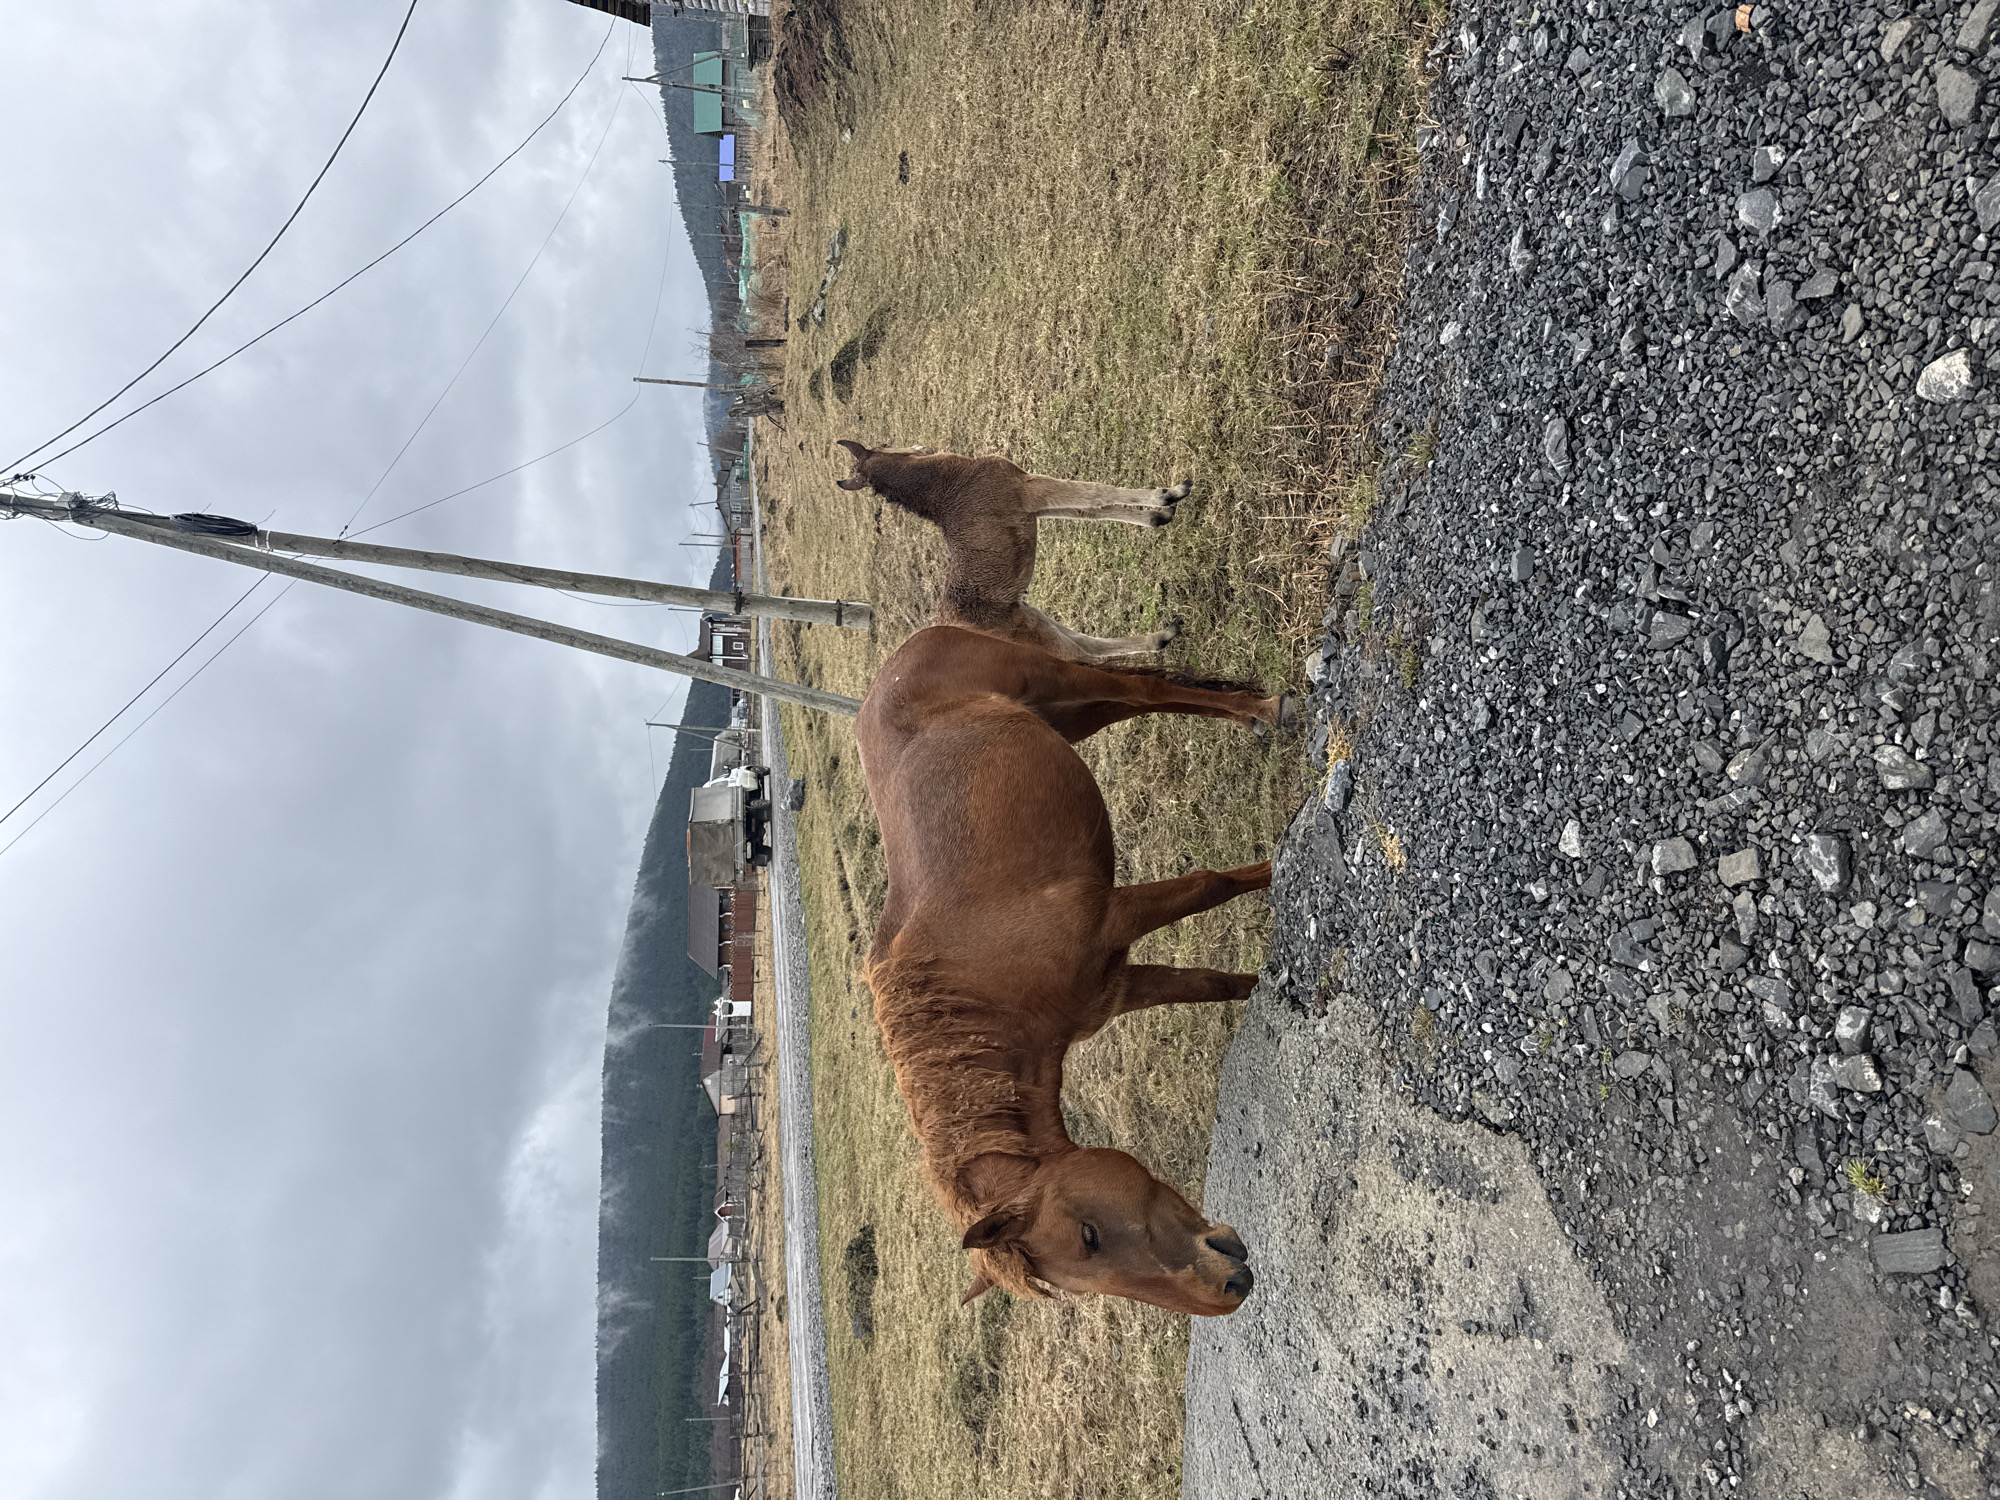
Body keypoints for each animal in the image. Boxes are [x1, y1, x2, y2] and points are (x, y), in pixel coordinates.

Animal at [833, 439, 1188, 665]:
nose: (923, 445)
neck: (950, 484)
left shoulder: (1030, 505)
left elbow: (1090, 508)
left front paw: (1159, 516)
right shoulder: (1026, 490)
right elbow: (1096, 493)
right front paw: (1170, 494)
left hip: (1031, 619)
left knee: (1087, 645)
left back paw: (1165, 635)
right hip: (1033, 633)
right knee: (1085, 659)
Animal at [857, 624, 1286, 1316]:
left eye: (1090, 1234)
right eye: (1084, 1265)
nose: (1227, 1290)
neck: (987, 992)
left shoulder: (1114, 918)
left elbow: (1209, 885)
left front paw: (1281, 866)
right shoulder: (1117, 989)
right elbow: (1211, 985)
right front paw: (1269, 984)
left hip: (1061, 683)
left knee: (1145, 691)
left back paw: (1266, 711)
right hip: (1073, 716)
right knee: (1143, 701)